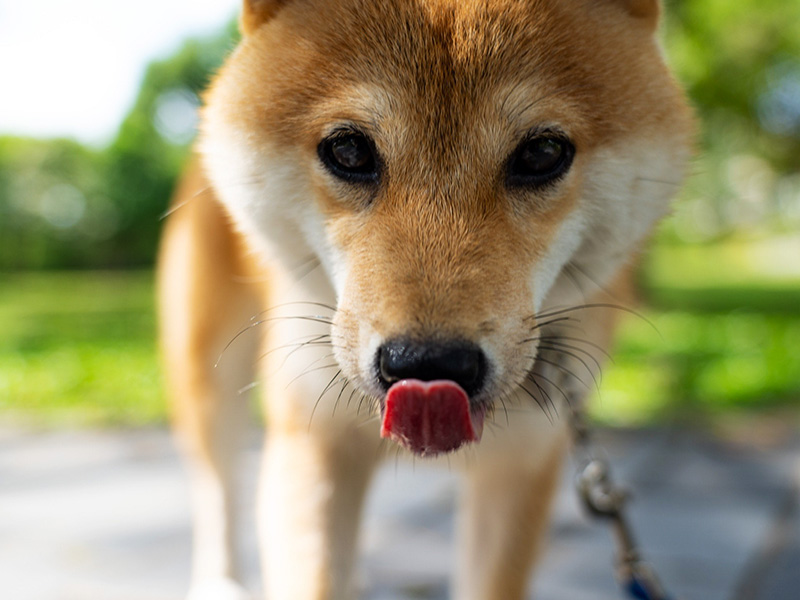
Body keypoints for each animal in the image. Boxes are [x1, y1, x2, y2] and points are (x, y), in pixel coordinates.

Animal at [158, 0, 692, 596]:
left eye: (543, 152)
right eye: (348, 149)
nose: (428, 366)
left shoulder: (522, 460)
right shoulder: (315, 441)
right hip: (208, 375)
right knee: (216, 488)